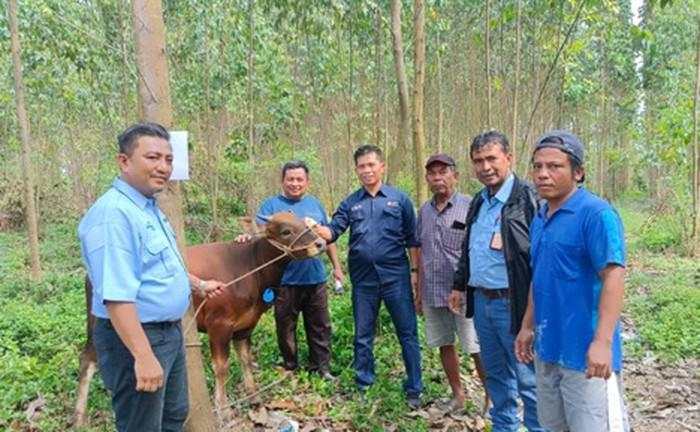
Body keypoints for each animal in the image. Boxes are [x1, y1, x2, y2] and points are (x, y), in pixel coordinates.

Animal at [75, 213, 326, 426]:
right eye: (286, 231)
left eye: (306, 224)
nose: (320, 243)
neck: (251, 269)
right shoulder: (219, 325)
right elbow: (221, 367)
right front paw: (223, 409)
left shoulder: (245, 326)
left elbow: (245, 360)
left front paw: (255, 400)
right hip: (101, 322)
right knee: (89, 359)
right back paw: (79, 418)